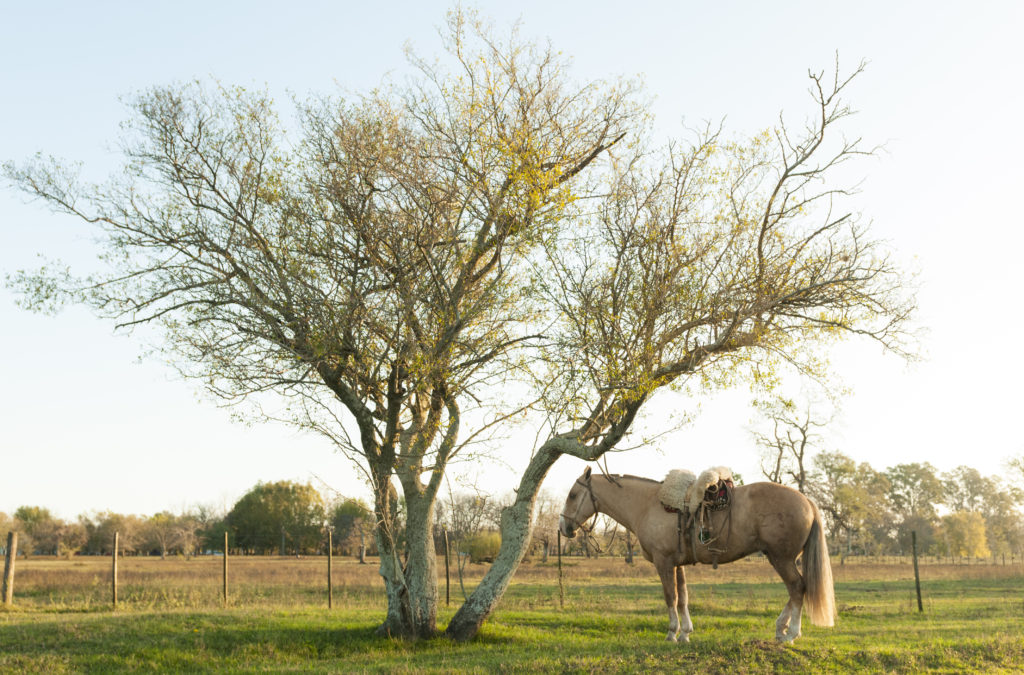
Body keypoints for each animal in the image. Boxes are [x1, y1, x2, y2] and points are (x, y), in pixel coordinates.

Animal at [557, 467, 835, 643]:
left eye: (572, 495)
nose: (564, 528)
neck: (648, 504)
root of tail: (808, 502)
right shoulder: (677, 563)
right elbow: (683, 598)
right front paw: (686, 633)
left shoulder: (664, 562)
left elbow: (670, 597)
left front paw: (672, 633)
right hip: (779, 558)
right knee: (798, 589)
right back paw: (781, 629)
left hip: (781, 558)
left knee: (797, 588)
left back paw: (790, 634)